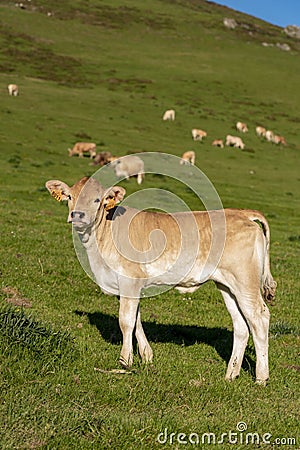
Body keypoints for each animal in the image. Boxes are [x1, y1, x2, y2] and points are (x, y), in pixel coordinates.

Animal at [45, 176, 278, 384]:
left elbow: (126, 321)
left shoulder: (130, 280)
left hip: (245, 282)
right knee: (241, 325)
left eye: (96, 200)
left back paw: (261, 377)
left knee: (259, 318)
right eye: (70, 196)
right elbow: (136, 319)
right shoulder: (129, 286)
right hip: (227, 285)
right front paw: (146, 356)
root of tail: (242, 213)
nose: (77, 215)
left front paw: (125, 360)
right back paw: (231, 374)